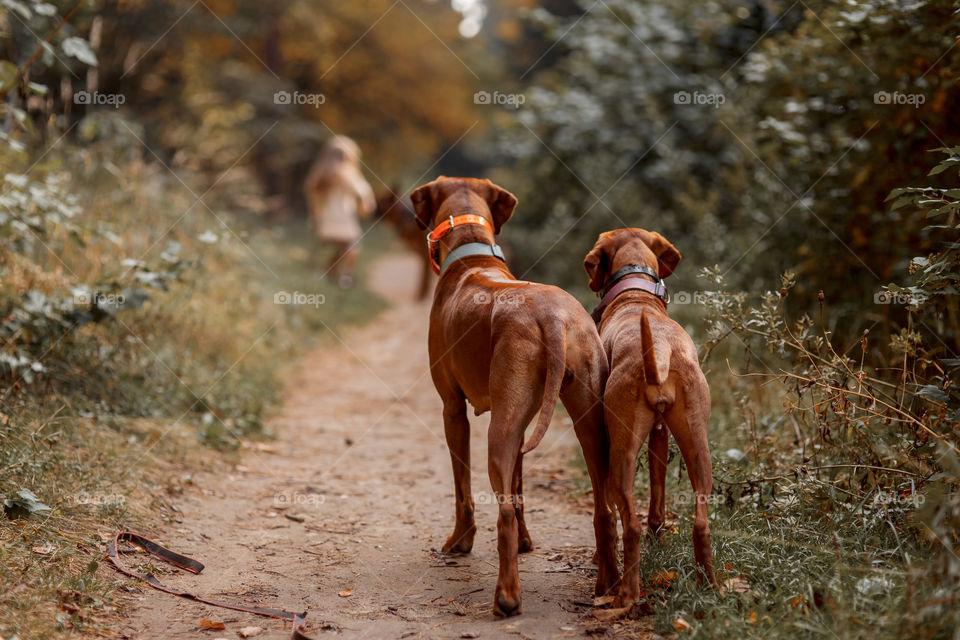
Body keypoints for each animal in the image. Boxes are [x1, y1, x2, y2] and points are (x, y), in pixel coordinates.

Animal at [410, 175, 620, 616]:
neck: (472, 254)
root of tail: (552, 317)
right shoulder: (521, 423)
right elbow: (520, 487)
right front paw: (526, 542)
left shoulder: (452, 409)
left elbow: (463, 487)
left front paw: (460, 541)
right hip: (587, 422)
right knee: (604, 509)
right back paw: (606, 586)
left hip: (499, 432)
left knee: (502, 512)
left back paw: (507, 597)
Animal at [584, 228, 712, 604]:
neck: (637, 295)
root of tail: (660, 351)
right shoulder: (659, 433)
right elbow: (657, 502)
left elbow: (609, 513)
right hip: (698, 448)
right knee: (700, 524)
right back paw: (710, 585)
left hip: (621, 456)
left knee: (630, 524)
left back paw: (627, 593)